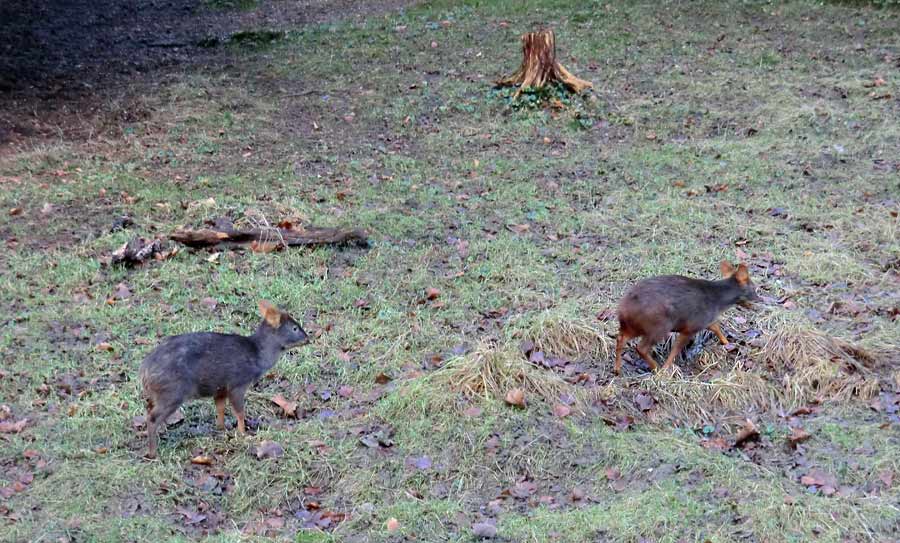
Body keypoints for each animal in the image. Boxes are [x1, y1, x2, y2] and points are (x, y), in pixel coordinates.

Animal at [140, 302, 310, 460]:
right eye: (295, 328)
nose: (308, 339)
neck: (257, 357)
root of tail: (144, 370)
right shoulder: (238, 383)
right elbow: (240, 412)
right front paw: (243, 433)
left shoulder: (220, 387)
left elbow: (220, 408)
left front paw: (222, 428)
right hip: (172, 392)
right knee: (153, 417)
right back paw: (153, 452)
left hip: (158, 393)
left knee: (148, 409)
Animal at [612, 262, 760, 376]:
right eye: (754, 288)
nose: (760, 299)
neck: (718, 302)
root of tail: (623, 309)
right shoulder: (692, 326)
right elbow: (676, 348)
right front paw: (666, 368)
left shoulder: (705, 321)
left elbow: (715, 327)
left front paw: (727, 342)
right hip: (659, 325)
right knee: (641, 347)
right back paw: (657, 369)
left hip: (634, 326)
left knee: (620, 338)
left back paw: (617, 369)